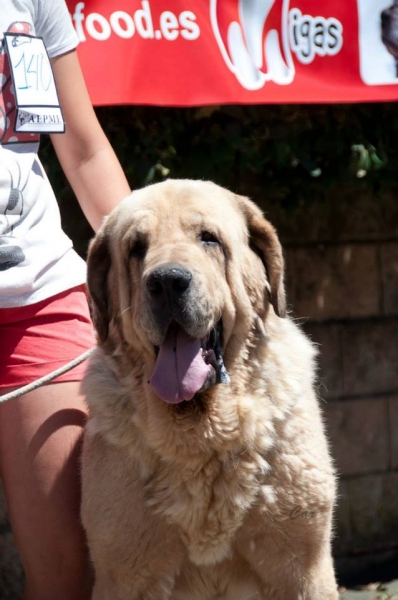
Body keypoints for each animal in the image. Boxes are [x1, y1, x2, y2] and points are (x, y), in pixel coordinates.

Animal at [82, 180, 338, 600]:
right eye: (137, 247)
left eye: (208, 238)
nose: (167, 281)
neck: (202, 435)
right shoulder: (126, 574)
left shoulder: (302, 569)